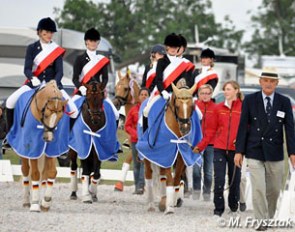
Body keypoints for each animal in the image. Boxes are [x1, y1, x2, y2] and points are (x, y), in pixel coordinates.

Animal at [6, 80, 68, 212]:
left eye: (60, 117)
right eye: (46, 115)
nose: (49, 138)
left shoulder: (52, 150)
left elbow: (52, 173)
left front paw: (45, 202)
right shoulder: (32, 149)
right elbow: (34, 174)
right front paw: (34, 204)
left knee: (44, 174)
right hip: (23, 150)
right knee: (25, 171)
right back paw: (26, 201)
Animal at [137, 83, 202, 214]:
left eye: (192, 106)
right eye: (177, 106)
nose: (185, 128)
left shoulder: (180, 156)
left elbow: (176, 180)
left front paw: (170, 203)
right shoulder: (167, 153)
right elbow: (170, 180)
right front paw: (169, 208)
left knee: (162, 176)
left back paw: (163, 201)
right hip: (149, 155)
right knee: (149, 175)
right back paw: (151, 205)